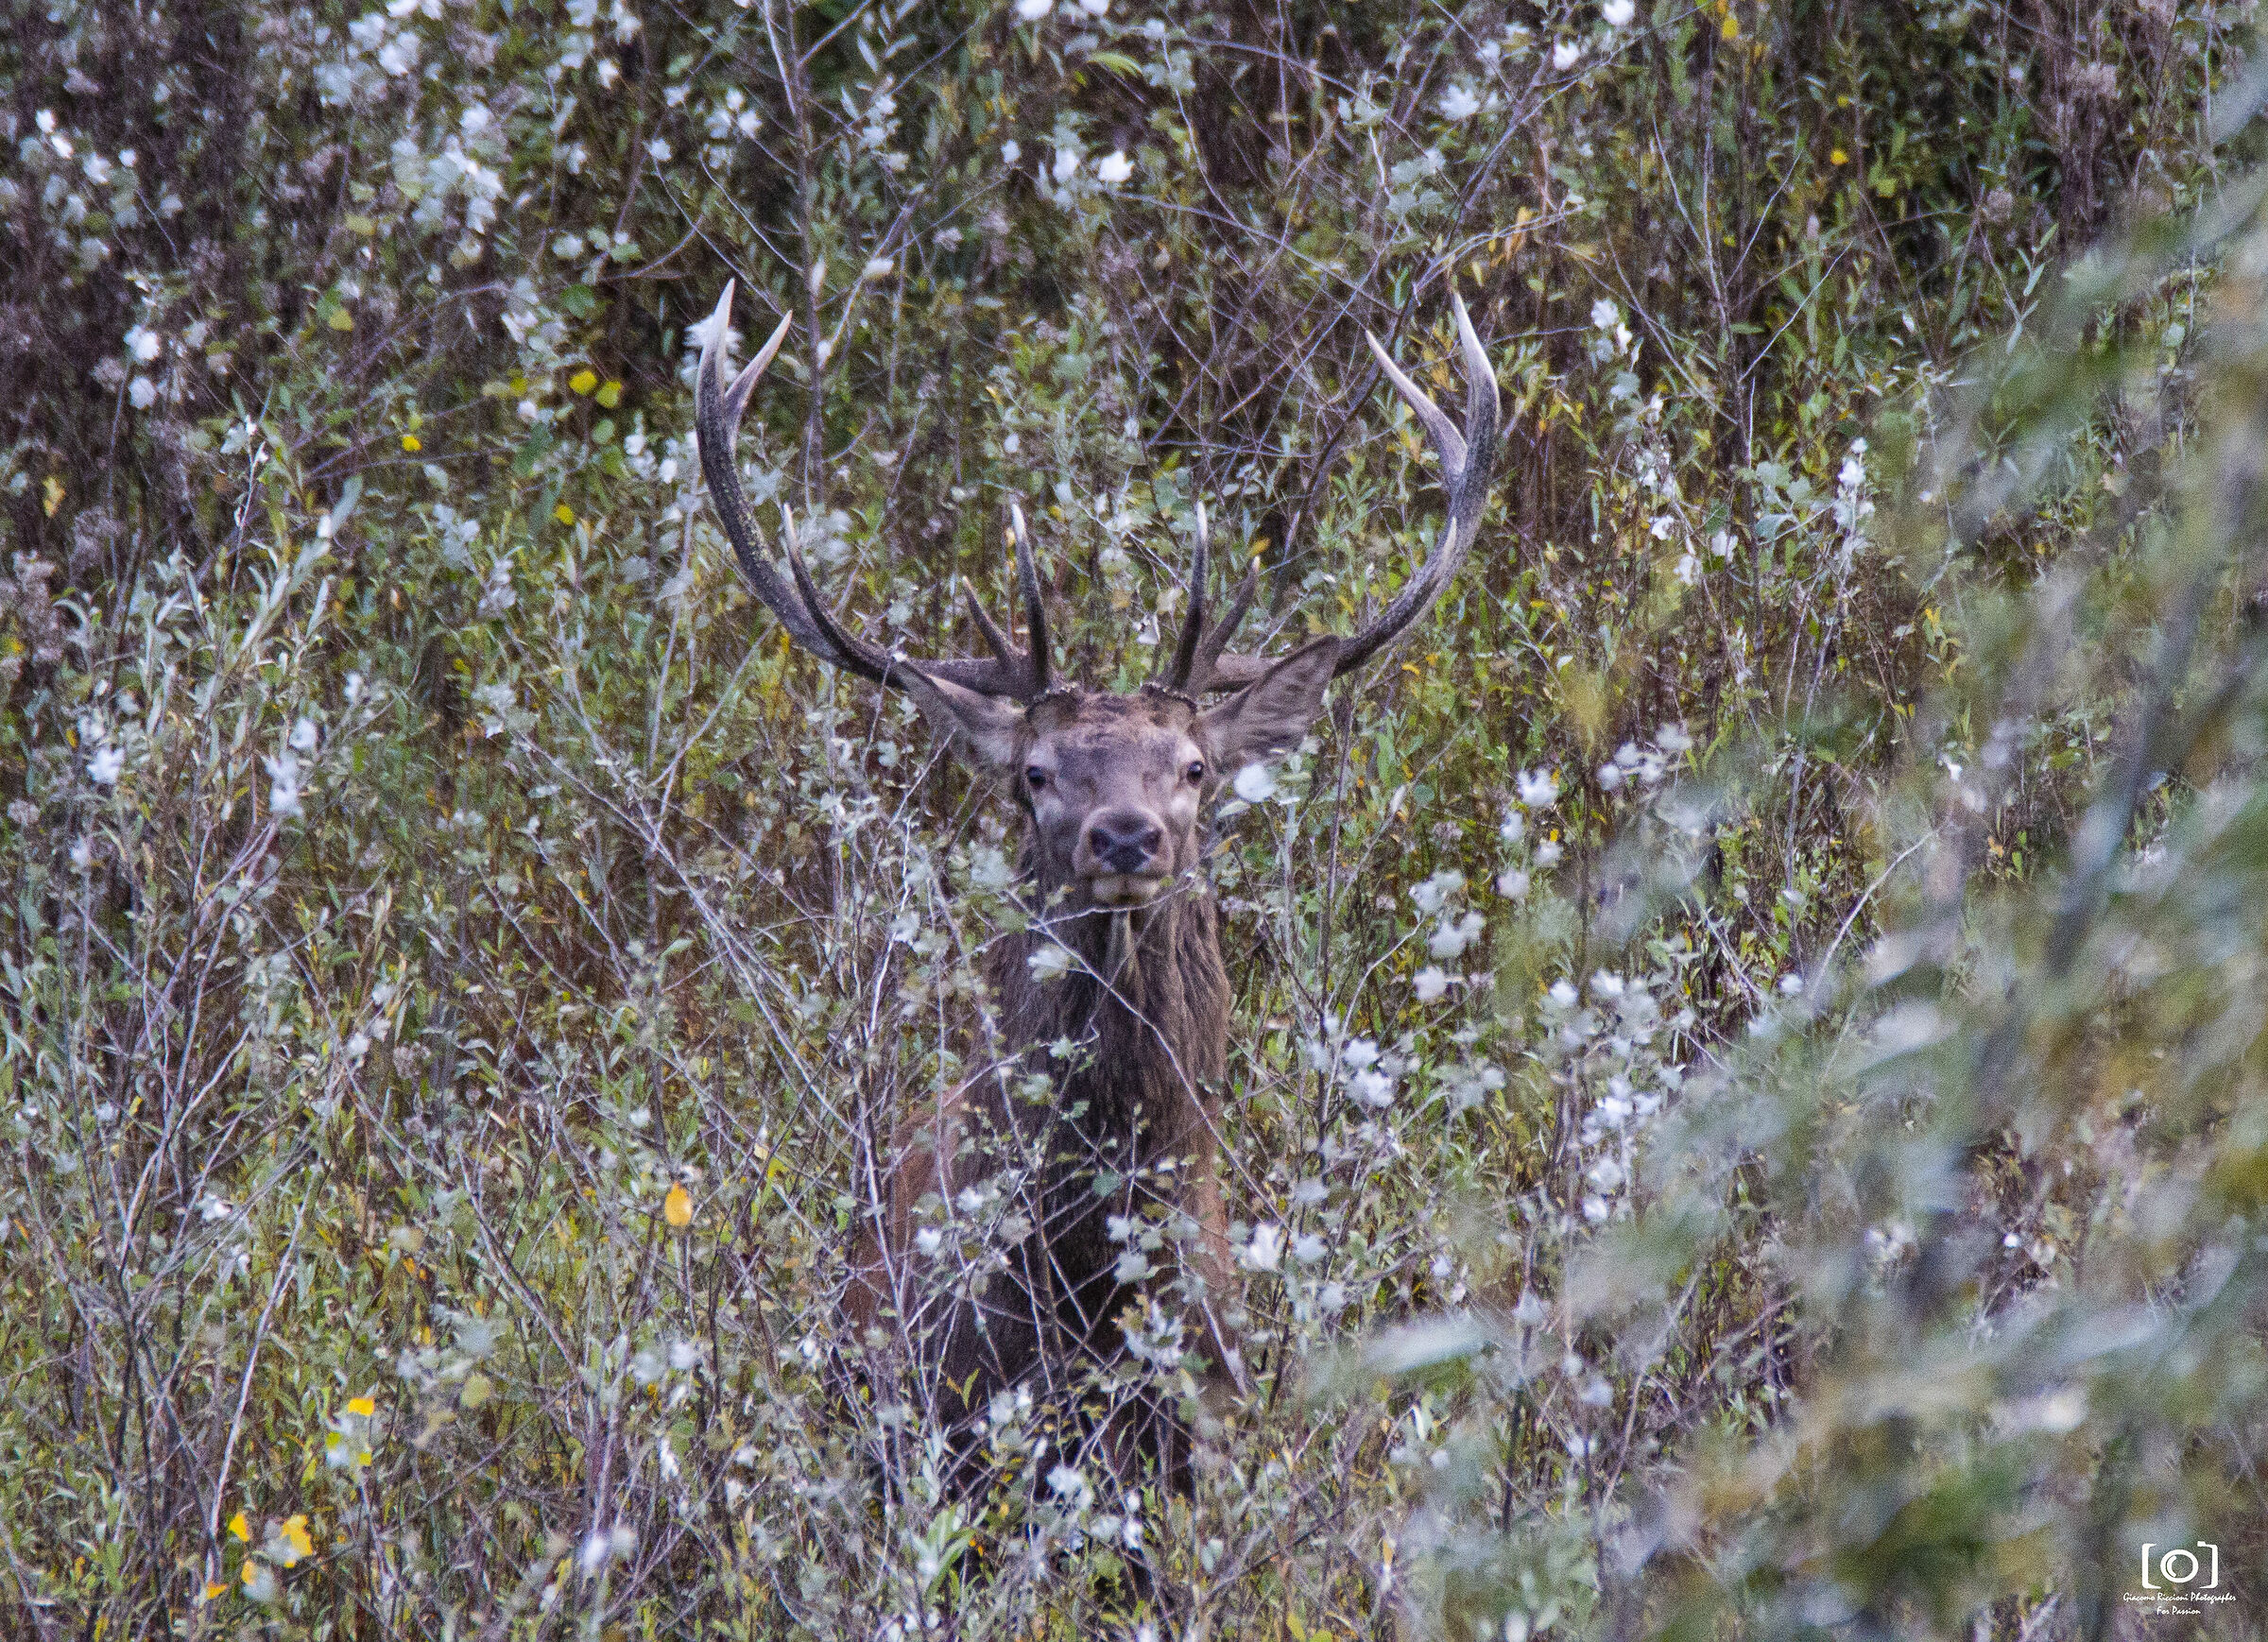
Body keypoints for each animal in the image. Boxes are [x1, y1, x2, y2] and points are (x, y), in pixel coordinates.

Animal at [694, 282, 1500, 1491]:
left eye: (1197, 766)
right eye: (1034, 773)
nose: (1125, 837)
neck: (1082, 1289)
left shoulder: (1212, 1428)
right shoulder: (946, 1422)